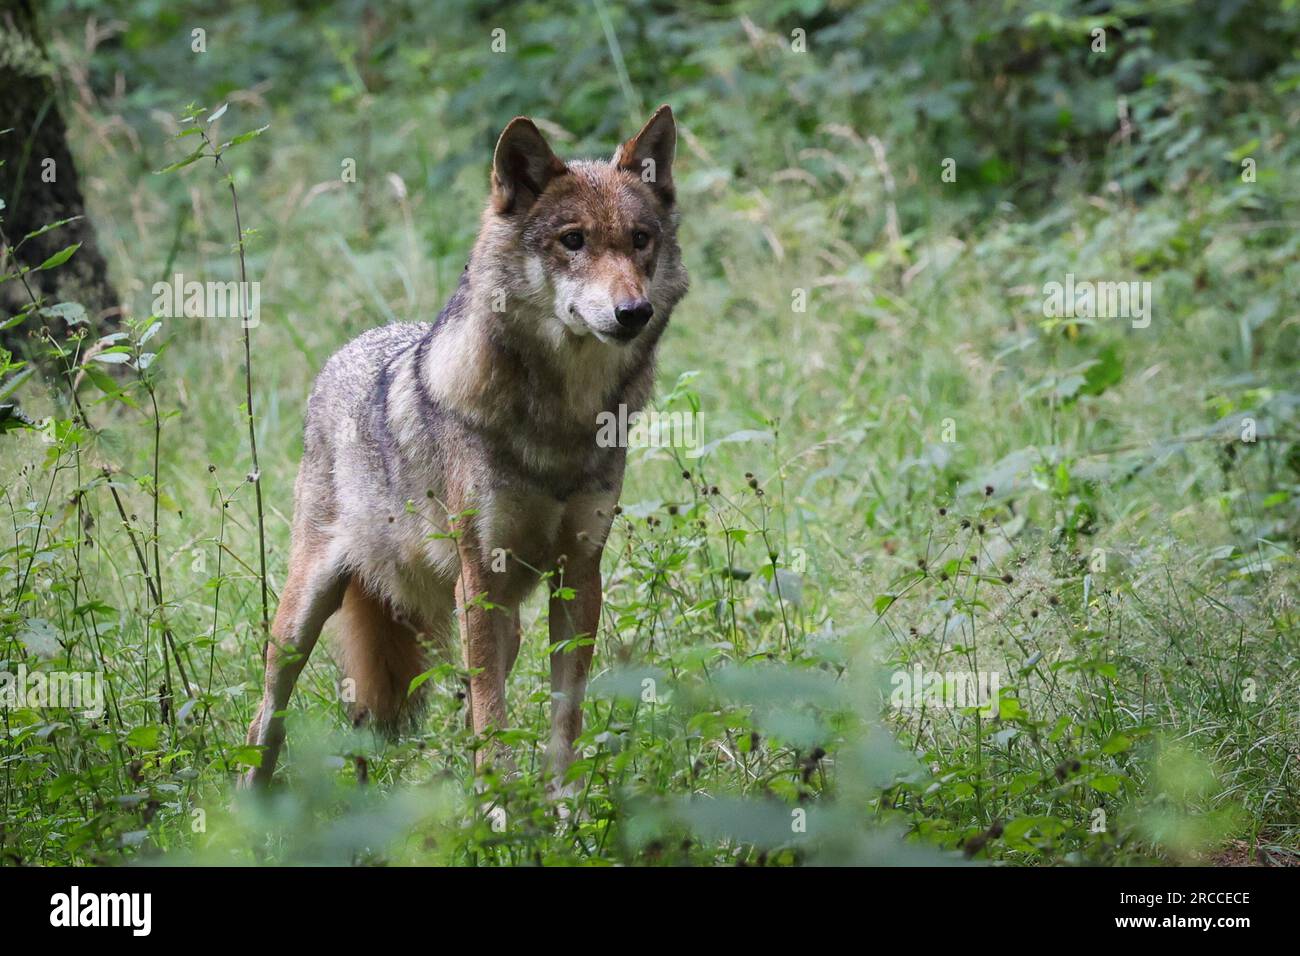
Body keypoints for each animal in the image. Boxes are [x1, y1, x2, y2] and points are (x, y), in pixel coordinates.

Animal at [244, 106, 691, 790]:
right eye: (573, 241)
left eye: (640, 239)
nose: (632, 311)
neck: (559, 421)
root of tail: (349, 347)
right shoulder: (479, 579)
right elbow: (492, 723)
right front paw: (501, 809)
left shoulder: (578, 576)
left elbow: (562, 722)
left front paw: (559, 809)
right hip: (302, 617)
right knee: (264, 721)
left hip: (503, 621)